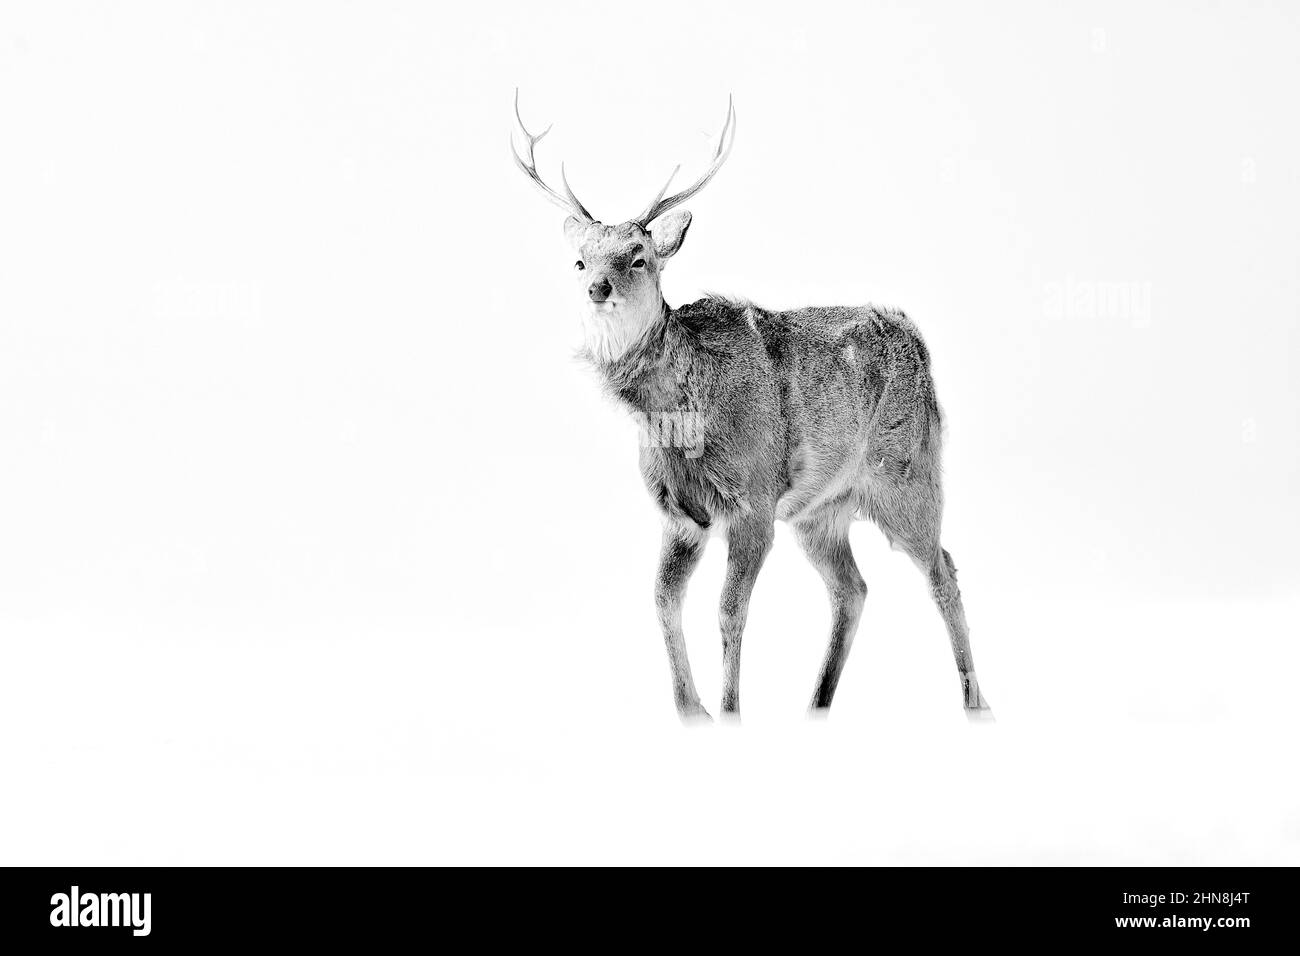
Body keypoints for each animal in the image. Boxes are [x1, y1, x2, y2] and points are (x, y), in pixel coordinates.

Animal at [511, 91, 993, 723]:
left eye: (638, 257)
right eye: (581, 260)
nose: (598, 288)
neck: (680, 425)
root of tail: (920, 342)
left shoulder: (755, 502)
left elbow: (728, 610)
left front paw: (730, 710)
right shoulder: (679, 514)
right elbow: (662, 603)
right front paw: (691, 709)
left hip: (907, 474)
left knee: (943, 569)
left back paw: (974, 702)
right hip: (821, 511)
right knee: (853, 588)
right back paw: (816, 703)